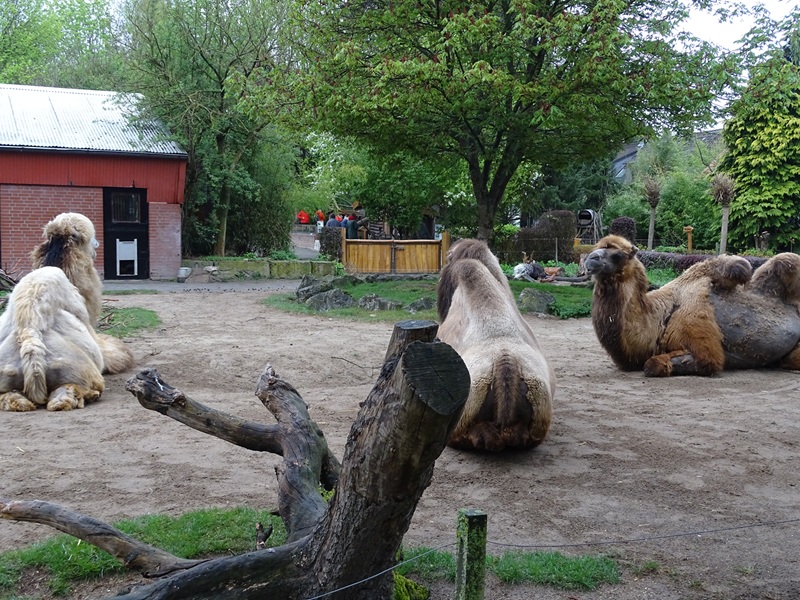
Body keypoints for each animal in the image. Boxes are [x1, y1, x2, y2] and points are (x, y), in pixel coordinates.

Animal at [585, 234, 800, 376]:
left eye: (618, 255)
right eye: (595, 249)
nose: (590, 259)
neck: (662, 317)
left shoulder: (701, 343)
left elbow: (653, 365)